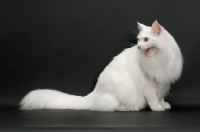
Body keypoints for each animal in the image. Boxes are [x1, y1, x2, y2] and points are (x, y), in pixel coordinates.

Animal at [19, 20, 183, 111]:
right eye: (138, 40)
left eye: (146, 40)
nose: (138, 47)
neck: (159, 59)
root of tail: (94, 92)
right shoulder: (149, 84)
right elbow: (153, 98)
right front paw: (157, 108)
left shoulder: (162, 82)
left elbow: (160, 97)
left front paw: (164, 105)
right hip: (122, 91)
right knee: (111, 106)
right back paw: (132, 108)